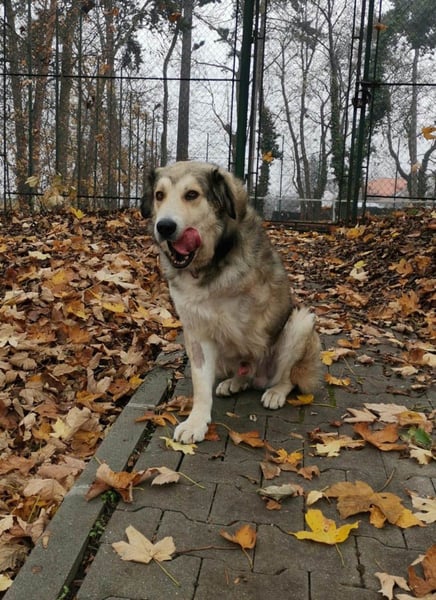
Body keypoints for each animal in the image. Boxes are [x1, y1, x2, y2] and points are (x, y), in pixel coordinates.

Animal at [141, 161, 321, 444]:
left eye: (191, 194)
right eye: (159, 195)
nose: (165, 227)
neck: (206, 266)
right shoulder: (197, 333)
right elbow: (200, 383)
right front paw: (196, 422)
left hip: (301, 322)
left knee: (287, 377)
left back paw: (275, 391)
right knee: (244, 373)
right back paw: (236, 382)